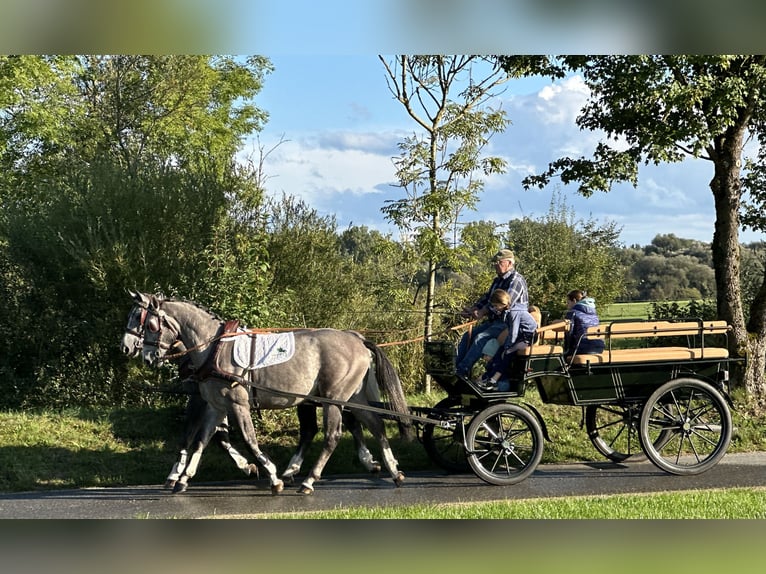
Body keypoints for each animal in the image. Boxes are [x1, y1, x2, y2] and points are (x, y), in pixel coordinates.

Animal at [133, 292, 414, 496]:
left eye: (150, 324)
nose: (145, 357)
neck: (214, 348)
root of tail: (356, 338)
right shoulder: (215, 405)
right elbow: (202, 439)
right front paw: (184, 478)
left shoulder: (238, 403)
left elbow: (248, 439)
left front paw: (272, 475)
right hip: (352, 396)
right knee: (375, 425)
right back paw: (394, 471)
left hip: (333, 398)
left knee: (333, 435)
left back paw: (309, 480)